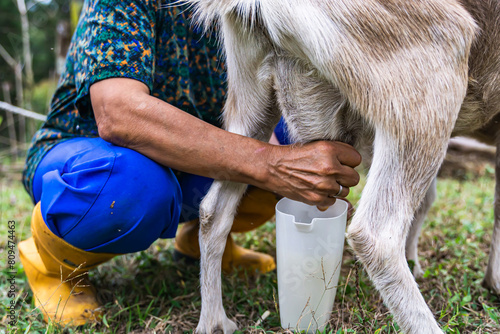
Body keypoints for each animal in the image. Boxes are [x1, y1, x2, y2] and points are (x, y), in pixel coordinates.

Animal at [182, 0, 500, 332]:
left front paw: (418, 262)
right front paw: (493, 282)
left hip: (250, 100)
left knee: (214, 210)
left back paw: (215, 321)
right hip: (431, 75)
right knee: (376, 235)